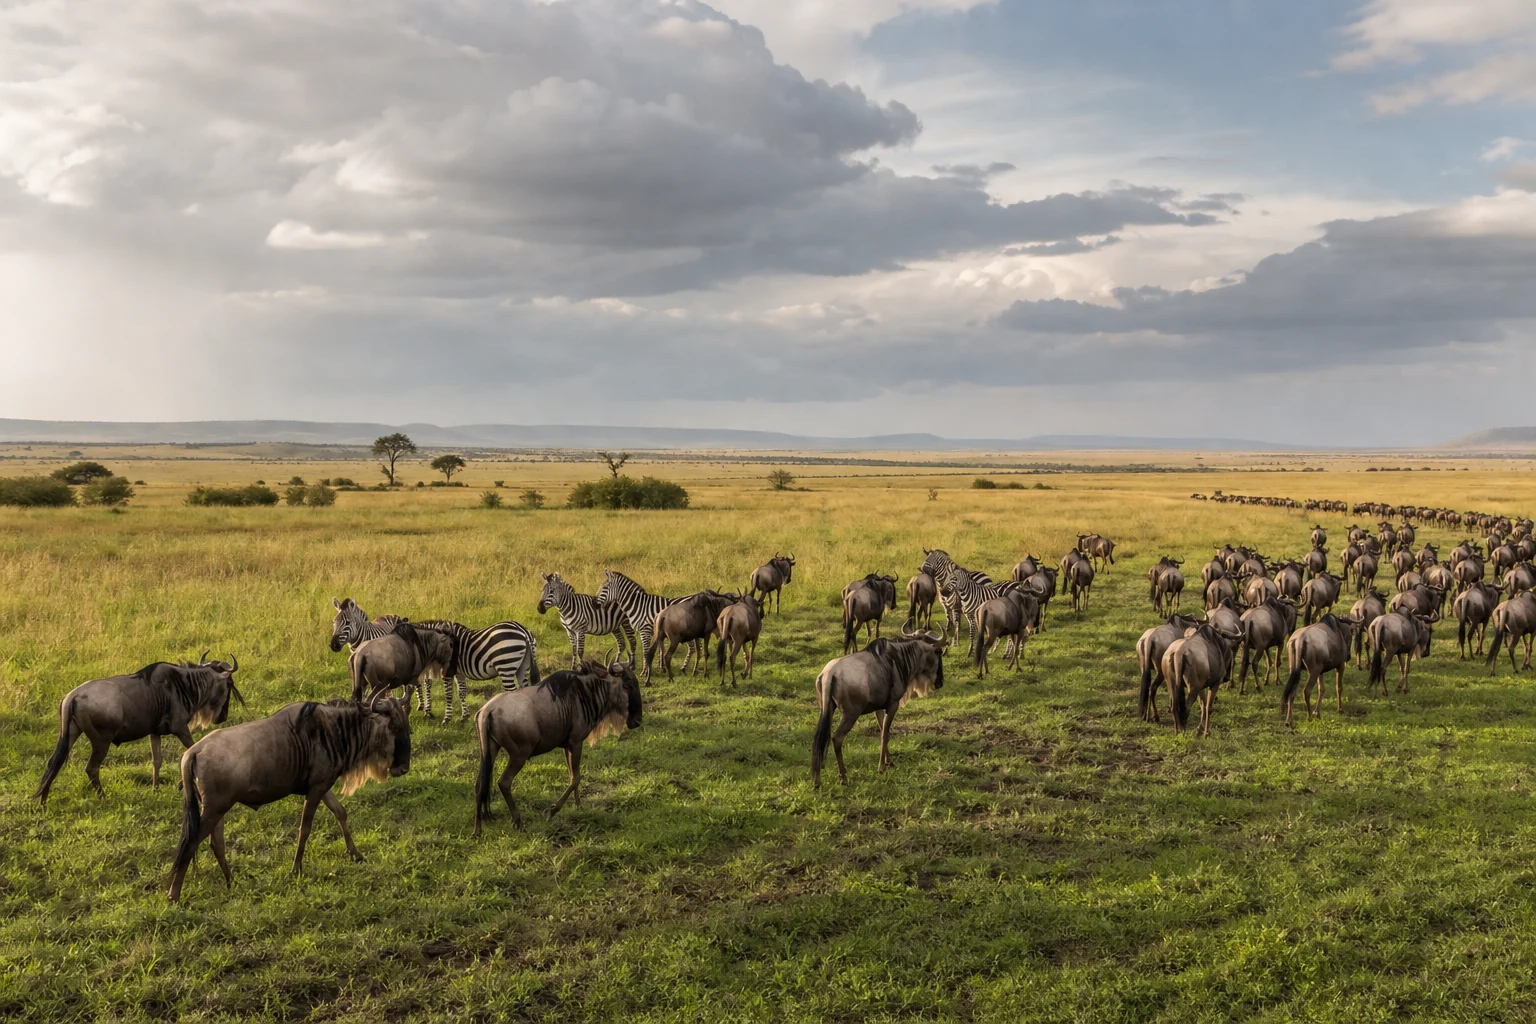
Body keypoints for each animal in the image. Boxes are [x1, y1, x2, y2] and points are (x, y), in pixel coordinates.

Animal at [409, 619, 540, 723]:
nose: (419, 709)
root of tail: (523, 630)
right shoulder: (458, 672)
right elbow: (461, 692)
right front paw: (465, 717)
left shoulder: (446, 670)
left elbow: (447, 694)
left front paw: (446, 719)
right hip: (522, 667)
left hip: (505, 666)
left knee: (512, 692)